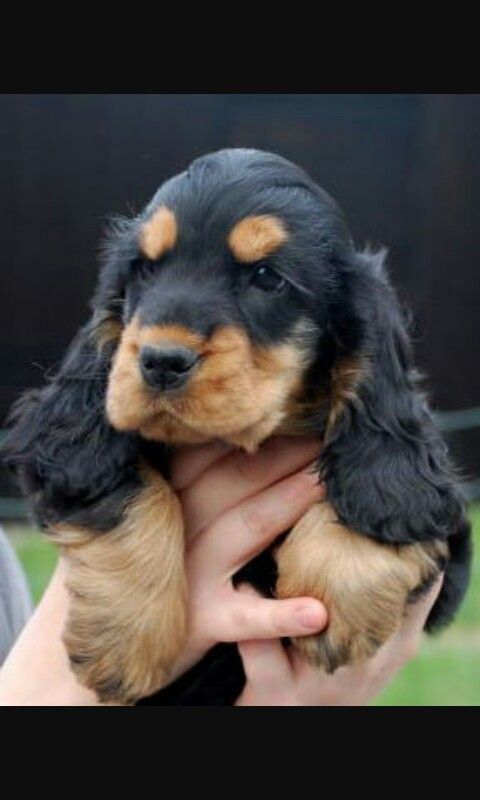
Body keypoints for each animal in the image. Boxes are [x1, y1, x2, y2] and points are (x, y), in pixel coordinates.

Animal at [0, 147, 472, 704]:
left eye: (267, 277)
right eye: (144, 269)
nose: (160, 361)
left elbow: (385, 494)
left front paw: (338, 589)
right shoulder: (66, 462)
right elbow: (125, 486)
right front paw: (125, 640)